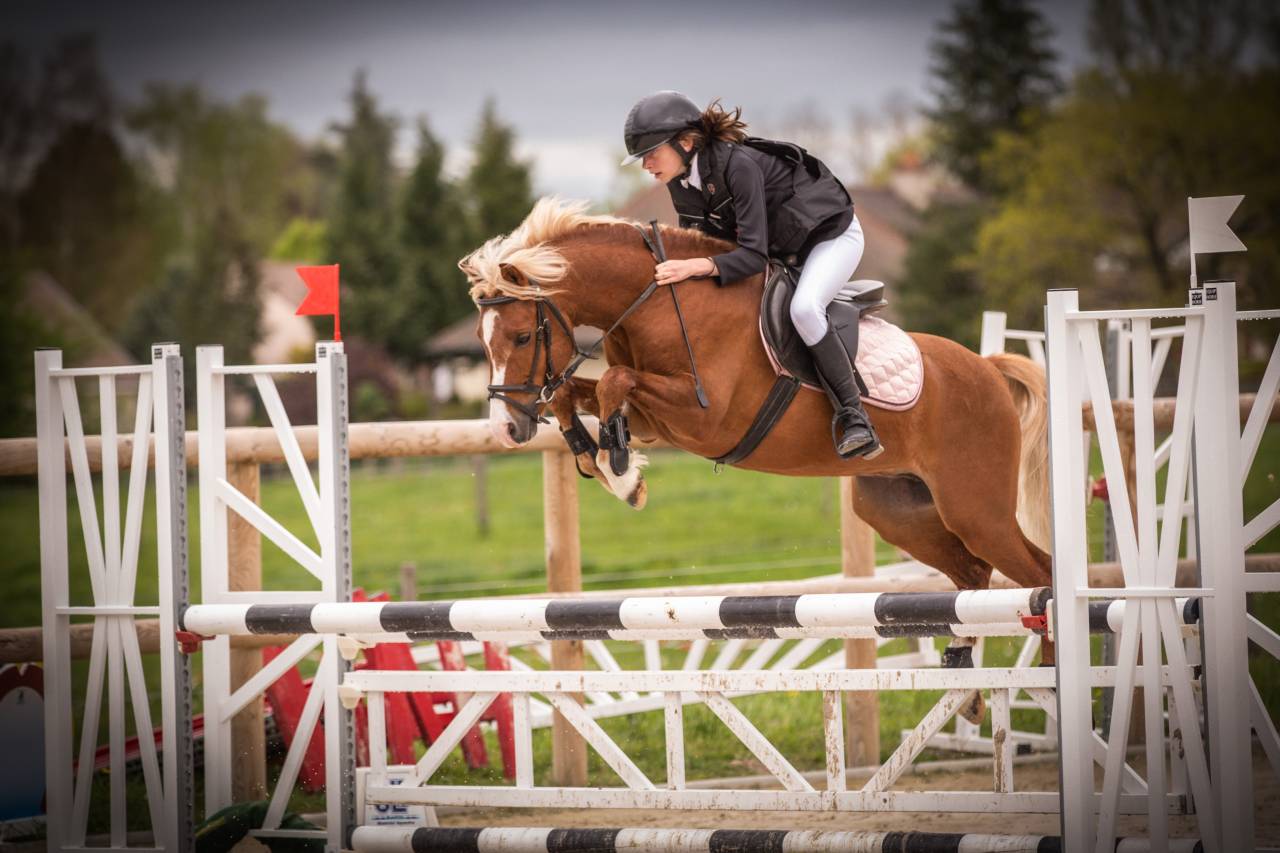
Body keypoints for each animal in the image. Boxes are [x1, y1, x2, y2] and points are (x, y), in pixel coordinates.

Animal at [459, 198, 1054, 689]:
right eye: (482, 343)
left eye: (521, 336)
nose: (506, 430)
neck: (658, 300)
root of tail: (988, 369)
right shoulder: (656, 416)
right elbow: (578, 393)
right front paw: (604, 460)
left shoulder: (706, 417)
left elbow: (612, 382)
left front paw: (623, 470)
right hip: (898, 510)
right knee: (973, 577)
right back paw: (968, 676)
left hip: (974, 508)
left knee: (1039, 577)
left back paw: (1052, 681)